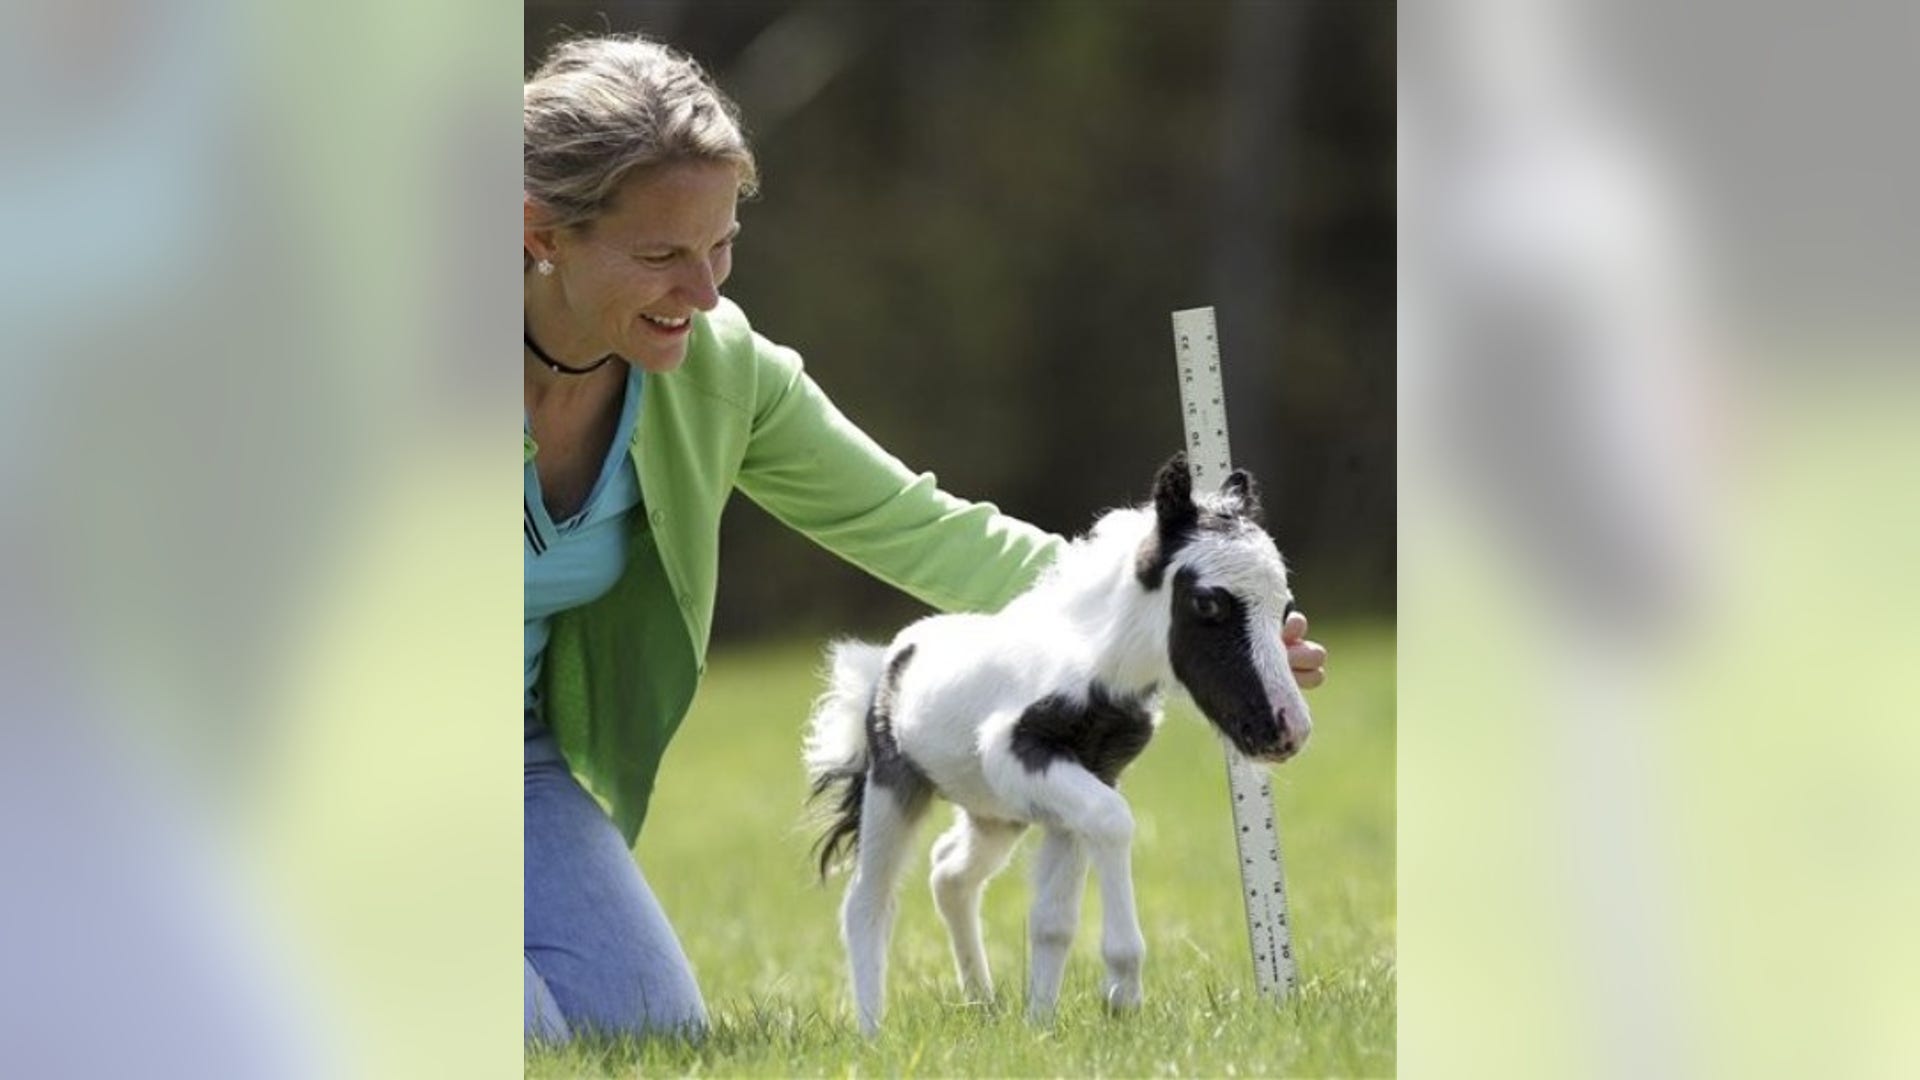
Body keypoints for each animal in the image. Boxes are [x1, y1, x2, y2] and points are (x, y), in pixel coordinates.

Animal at [803, 452, 1311, 1035]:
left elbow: (1053, 918)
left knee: (949, 873)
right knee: (868, 898)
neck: (1094, 665)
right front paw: (1122, 991)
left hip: (995, 814)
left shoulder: (1085, 778)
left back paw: (983, 1003)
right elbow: (1114, 821)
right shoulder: (1018, 755)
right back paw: (872, 1032)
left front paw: (1040, 1026)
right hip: (895, 789)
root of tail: (888, 659)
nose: (1288, 728)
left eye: (1284, 608)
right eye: (1207, 604)